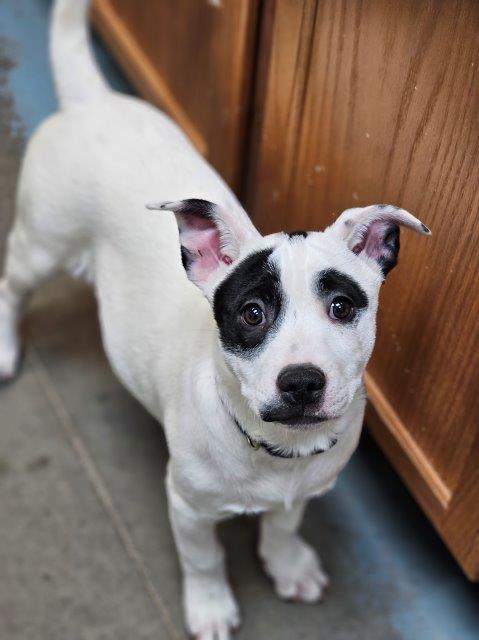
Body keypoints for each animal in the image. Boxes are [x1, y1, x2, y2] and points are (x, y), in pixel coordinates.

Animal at [0, 2, 432, 636]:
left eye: (342, 307)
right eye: (251, 313)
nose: (302, 382)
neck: (276, 450)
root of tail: (91, 101)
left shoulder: (304, 487)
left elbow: (284, 522)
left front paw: (286, 561)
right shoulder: (187, 506)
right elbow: (203, 558)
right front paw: (209, 607)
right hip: (42, 242)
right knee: (11, 286)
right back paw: (5, 348)